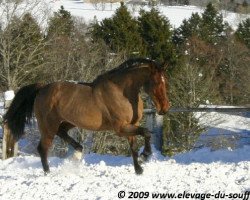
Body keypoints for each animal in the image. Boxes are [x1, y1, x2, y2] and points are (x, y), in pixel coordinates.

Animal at [3, 57, 170, 174]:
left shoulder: (131, 126)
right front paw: (145, 155)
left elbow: (134, 145)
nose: (164, 108)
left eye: (165, 81)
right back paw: (48, 173)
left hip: (69, 121)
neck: (122, 92)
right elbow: (146, 132)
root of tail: (42, 88)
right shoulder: (120, 128)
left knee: (61, 132)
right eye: (157, 82)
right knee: (42, 148)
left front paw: (139, 169)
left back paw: (77, 152)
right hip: (48, 125)